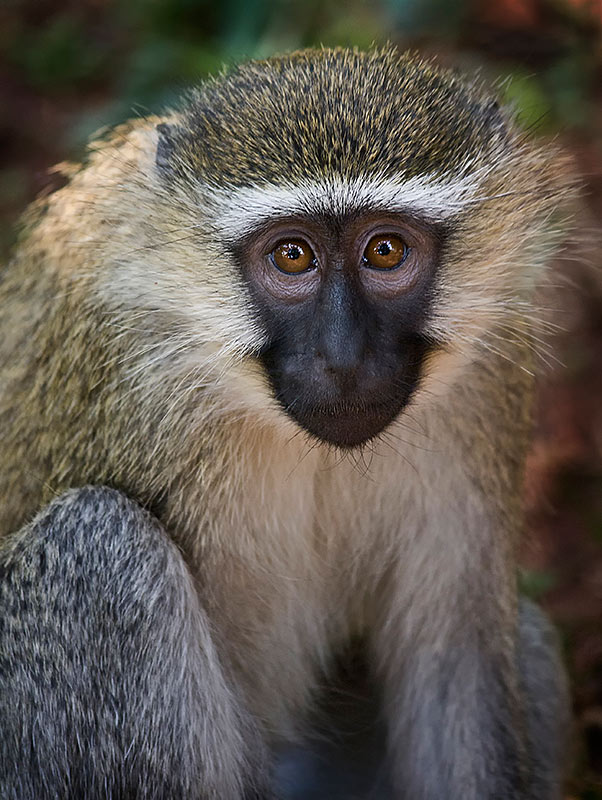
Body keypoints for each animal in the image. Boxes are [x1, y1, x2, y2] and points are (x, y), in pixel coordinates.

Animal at [0, 47, 568, 796]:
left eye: (385, 251)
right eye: (292, 255)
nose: (344, 357)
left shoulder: (486, 383)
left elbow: (458, 665)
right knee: (100, 538)